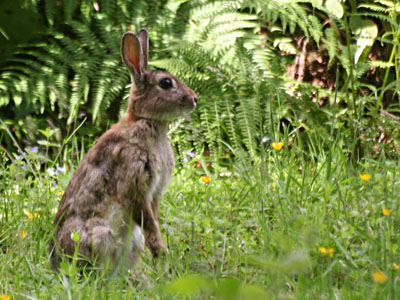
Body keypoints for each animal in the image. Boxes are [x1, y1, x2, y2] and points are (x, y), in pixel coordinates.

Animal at [49, 28, 198, 272]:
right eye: (166, 83)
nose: (194, 99)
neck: (145, 120)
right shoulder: (133, 185)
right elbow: (150, 224)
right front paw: (162, 254)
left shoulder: (154, 194)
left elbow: (154, 221)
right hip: (98, 234)